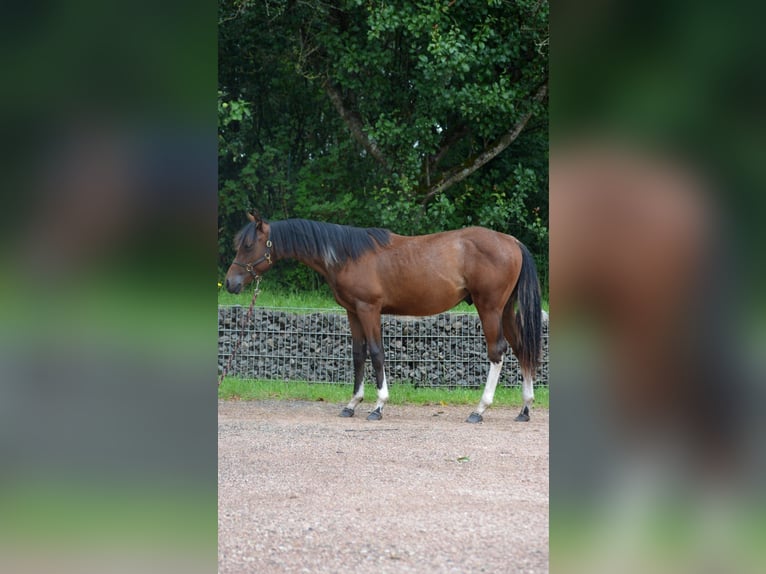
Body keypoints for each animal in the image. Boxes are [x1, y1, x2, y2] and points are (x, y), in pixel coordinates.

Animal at [225, 214, 544, 426]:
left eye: (249, 245)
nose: (230, 283)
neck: (347, 255)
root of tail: (511, 241)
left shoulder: (369, 310)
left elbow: (377, 353)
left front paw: (378, 405)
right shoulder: (353, 312)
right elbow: (358, 354)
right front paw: (352, 403)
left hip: (489, 308)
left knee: (497, 352)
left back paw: (480, 409)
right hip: (505, 310)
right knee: (521, 350)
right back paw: (525, 408)